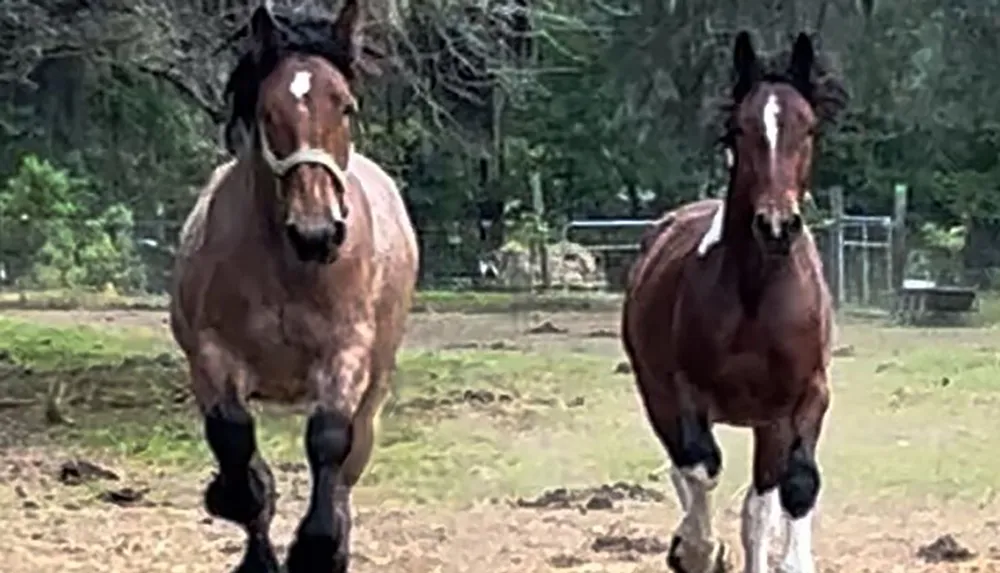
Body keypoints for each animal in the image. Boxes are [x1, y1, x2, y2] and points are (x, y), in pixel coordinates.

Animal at [169, 2, 418, 568]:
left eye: (345, 107)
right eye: (267, 112)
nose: (316, 233)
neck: (288, 266)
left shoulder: (345, 353)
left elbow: (328, 440)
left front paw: (317, 548)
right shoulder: (212, 358)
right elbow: (235, 444)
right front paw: (248, 526)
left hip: (376, 385)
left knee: (349, 463)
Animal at [620, 32, 848, 572]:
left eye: (808, 128)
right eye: (739, 130)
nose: (776, 225)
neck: (756, 297)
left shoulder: (806, 396)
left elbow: (794, 487)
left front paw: (792, 561)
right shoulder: (685, 393)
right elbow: (700, 468)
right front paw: (697, 549)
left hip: (768, 421)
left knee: (759, 504)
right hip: (655, 393)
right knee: (683, 468)